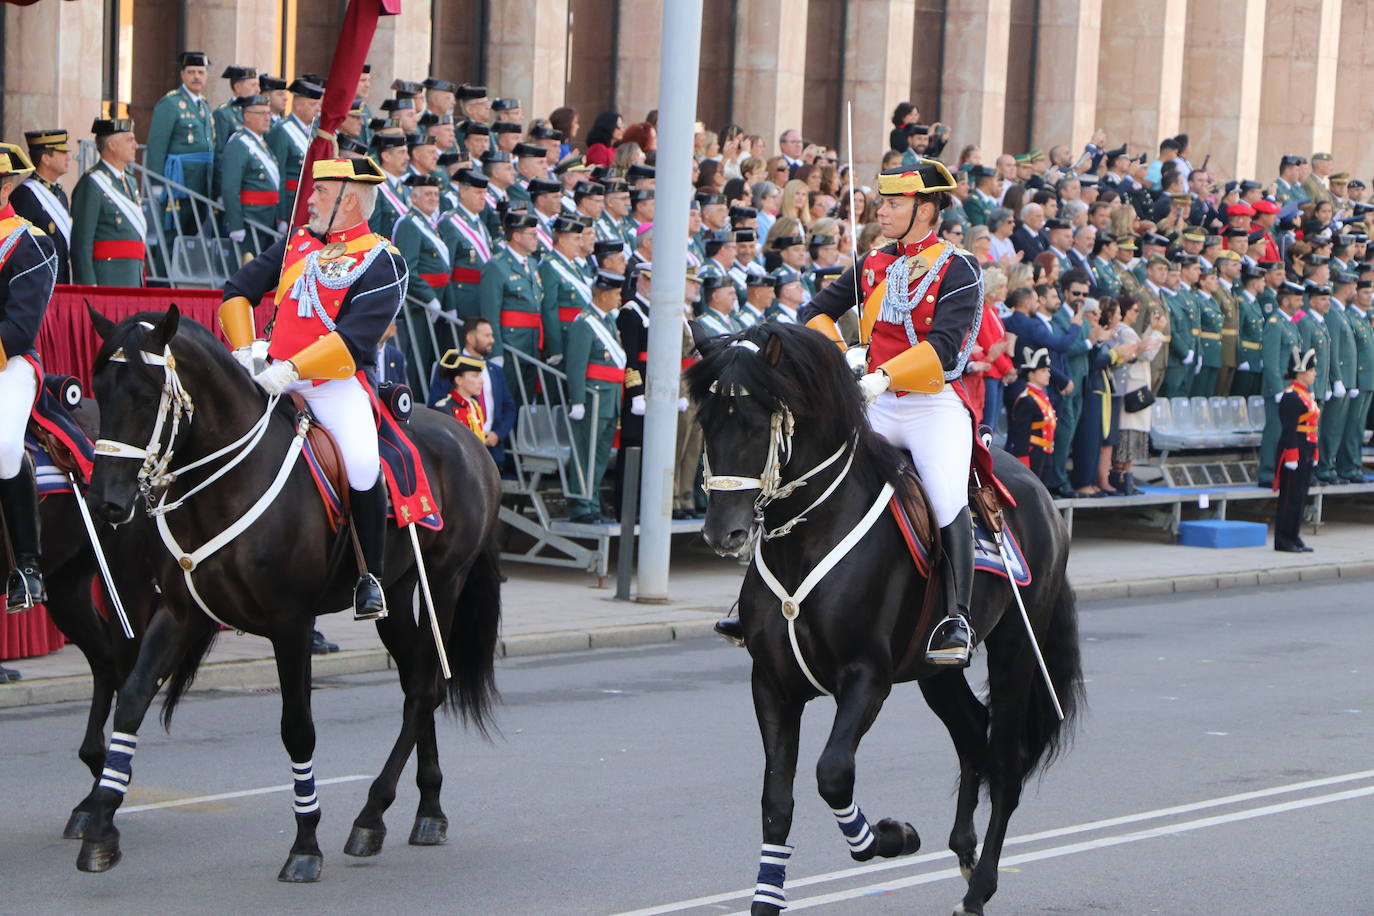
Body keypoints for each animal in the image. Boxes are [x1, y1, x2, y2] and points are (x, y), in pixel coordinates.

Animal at [76, 307, 505, 878]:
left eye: (147, 397)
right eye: (99, 390)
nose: (105, 503)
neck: (226, 482)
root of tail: (470, 440)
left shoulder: (291, 626)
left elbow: (297, 727)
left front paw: (305, 843)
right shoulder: (179, 613)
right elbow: (131, 700)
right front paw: (101, 824)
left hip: (445, 584)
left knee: (427, 687)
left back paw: (371, 813)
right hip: (395, 597)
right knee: (419, 683)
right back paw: (426, 809)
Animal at [687, 324, 1082, 916]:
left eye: (758, 424)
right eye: (706, 422)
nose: (722, 533)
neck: (810, 534)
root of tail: (1037, 490)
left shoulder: (866, 677)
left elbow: (832, 775)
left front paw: (894, 837)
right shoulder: (772, 683)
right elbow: (776, 801)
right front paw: (766, 899)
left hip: (1015, 653)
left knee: (1006, 763)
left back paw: (979, 888)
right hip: (935, 672)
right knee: (974, 735)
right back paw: (963, 853)